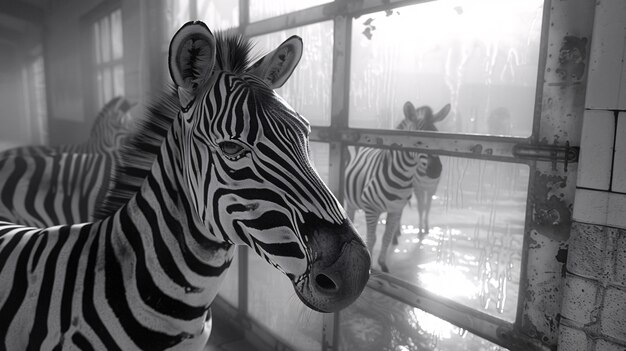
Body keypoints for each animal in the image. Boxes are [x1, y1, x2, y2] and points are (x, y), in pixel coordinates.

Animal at [342, 101, 448, 272]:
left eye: (438, 137)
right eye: (419, 141)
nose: (436, 170)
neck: (401, 178)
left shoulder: (396, 209)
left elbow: (386, 237)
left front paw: (383, 264)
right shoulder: (371, 209)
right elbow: (372, 238)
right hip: (351, 200)